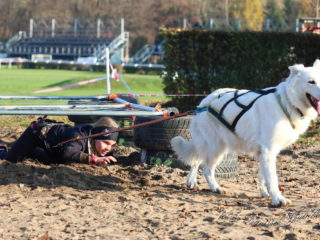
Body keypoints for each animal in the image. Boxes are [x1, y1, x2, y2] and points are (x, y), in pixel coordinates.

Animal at [172, 59, 320, 206]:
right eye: (311, 82)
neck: (285, 102)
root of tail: (204, 104)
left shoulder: (265, 153)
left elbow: (263, 177)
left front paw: (265, 193)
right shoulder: (268, 150)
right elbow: (272, 179)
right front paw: (278, 199)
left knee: (197, 161)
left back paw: (192, 182)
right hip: (216, 148)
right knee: (206, 168)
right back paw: (215, 187)